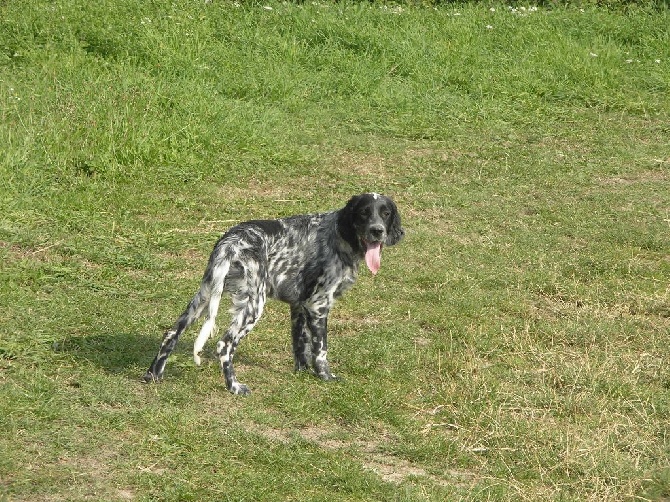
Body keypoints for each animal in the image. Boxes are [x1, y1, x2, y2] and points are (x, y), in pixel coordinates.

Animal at [143, 194, 404, 394]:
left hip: (204, 296)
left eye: (385, 213)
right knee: (224, 345)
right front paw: (326, 377)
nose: (377, 231)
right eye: (364, 213)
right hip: (253, 306)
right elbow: (320, 351)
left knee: (171, 333)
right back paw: (234, 386)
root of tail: (231, 242)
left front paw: (301, 374)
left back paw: (153, 375)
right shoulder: (319, 305)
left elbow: (300, 347)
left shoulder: (299, 306)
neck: (340, 236)